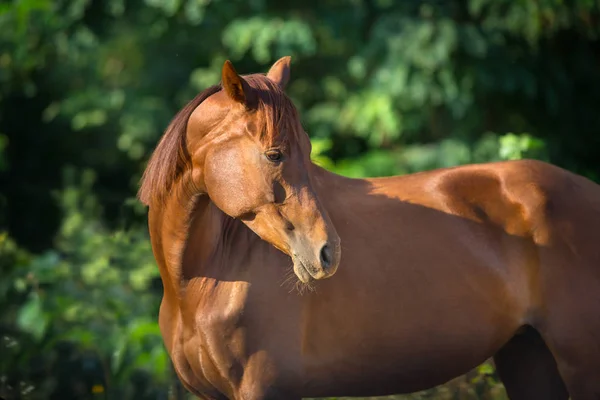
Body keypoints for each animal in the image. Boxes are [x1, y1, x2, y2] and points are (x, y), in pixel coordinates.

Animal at [138, 57, 600, 400]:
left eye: (307, 149)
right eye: (274, 154)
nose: (327, 252)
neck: (202, 282)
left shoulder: (264, 387)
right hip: (528, 358)